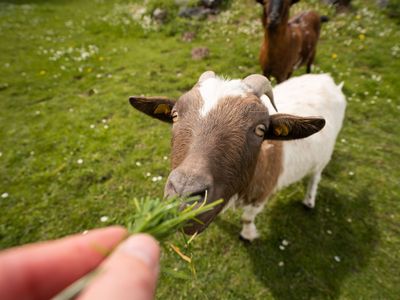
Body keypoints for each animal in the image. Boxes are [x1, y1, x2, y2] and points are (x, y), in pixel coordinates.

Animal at [130, 71, 346, 241]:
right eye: (174, 116)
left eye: (260, 129)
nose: (184, 196)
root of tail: (327, 79)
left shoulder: (260, 196)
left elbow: (247, 218)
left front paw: (248, 235)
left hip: (325, 155)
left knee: (315, 176)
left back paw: (309, 200)